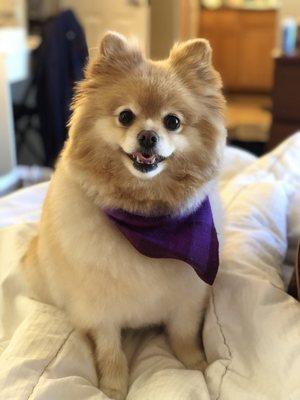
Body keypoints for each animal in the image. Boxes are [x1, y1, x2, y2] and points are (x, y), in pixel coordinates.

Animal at [22, 32, 226, 400]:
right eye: (126, 116)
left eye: (172, 122)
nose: (148, 136)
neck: (145, 217)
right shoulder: (100, 310)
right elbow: (110, 351)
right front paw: (113, 387)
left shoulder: (186, 301)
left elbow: (184, 336)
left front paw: (197, 365)